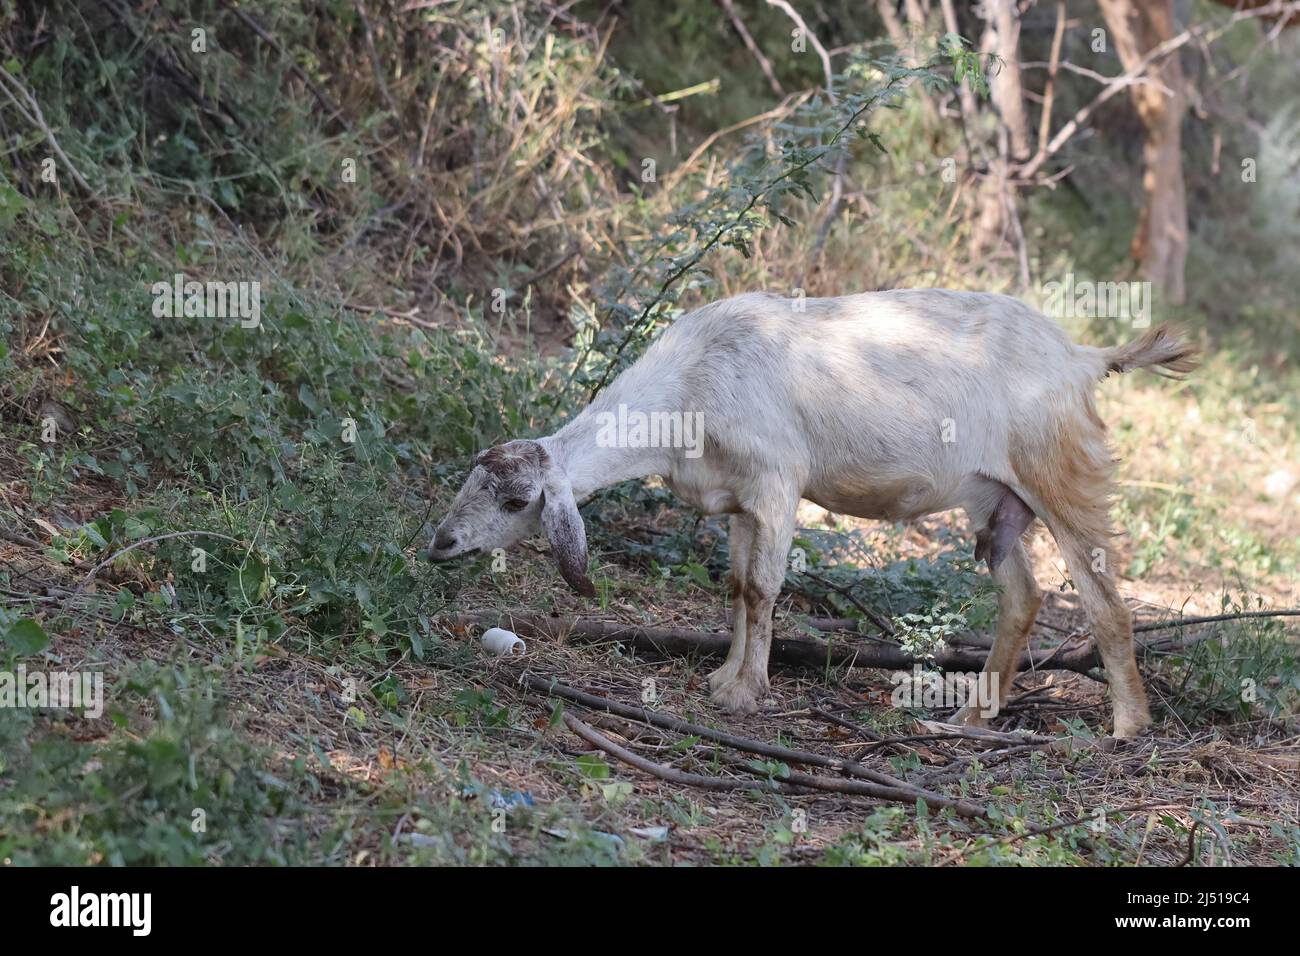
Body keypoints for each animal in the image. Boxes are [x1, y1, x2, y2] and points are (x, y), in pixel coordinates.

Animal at [428, 287, 1196, 738]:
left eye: (516, 500)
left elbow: (764, 589)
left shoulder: (776, 483)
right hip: (993, 501)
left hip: (1061, 474)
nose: (440, 544)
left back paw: (1128, 726)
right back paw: (976, 711)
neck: (690, 384)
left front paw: (743, 696)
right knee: (1024, 596)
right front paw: (724, 676)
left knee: (1105, 600)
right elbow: (737, 588)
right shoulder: (739, 501)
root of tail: (1083, 356)